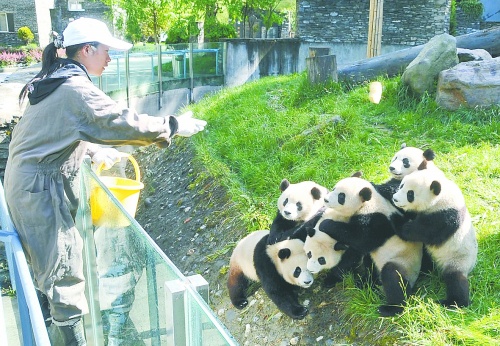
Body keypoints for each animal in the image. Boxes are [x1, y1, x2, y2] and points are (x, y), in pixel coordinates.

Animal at [318, 174, 424, 318]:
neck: (369, 202)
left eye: (341, 197)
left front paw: (325, 224)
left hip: (404, 263)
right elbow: (355, 250)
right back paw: (365, 283)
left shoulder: (376, 220)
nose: (326, 199)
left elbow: (361, 240)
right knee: (370, 265)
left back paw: (390, 308)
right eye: (334, 188)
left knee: (393, 277)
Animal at [392, 164, 478, 306]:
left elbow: (426, 233)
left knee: (455, 280)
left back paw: (454, 302)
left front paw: (401, 225)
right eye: (401, 185)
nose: (395, 199)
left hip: (458, 259)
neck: (441, 196)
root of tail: (471, 266)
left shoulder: (445, 217)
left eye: (410, 194)